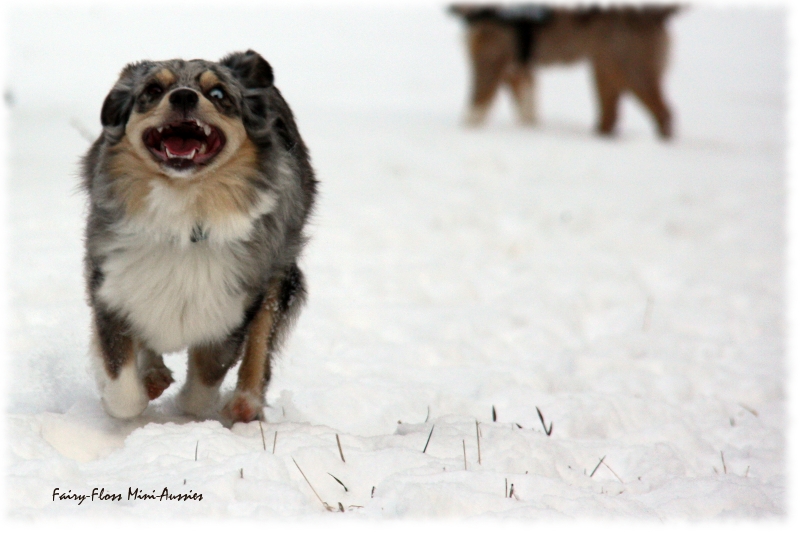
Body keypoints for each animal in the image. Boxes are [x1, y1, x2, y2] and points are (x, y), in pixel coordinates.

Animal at [454, 4, 680, 137]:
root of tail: (658, 14)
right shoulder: (518, 73)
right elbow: (527, 110)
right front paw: (529, 129)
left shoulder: (489, 65)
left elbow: (475, 106)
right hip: (607, 70)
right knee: (611, 115)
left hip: (633, 70)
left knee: (663, 113)